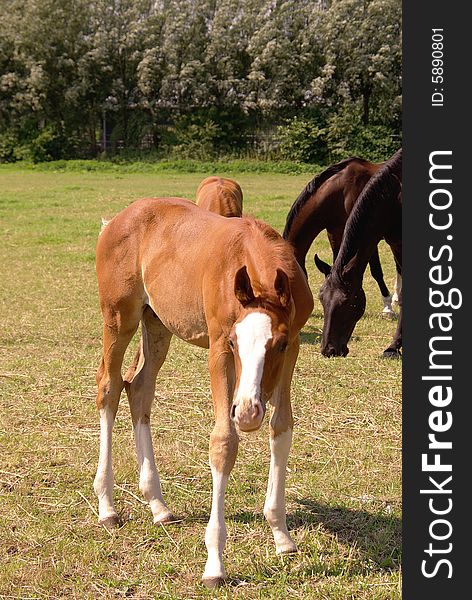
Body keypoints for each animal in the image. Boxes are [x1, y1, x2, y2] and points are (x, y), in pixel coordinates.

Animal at [93, 197, 314, 584]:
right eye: (235, 342)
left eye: (280, 344)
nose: (248, 411)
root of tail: (116, 220)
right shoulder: (218, 347)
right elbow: (223, 443)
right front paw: (215, 562)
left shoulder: (295, 348)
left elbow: (282, 428)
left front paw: (281, 535)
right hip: (119, 317)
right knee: (109, 386)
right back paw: (107, 506)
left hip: (156, 322)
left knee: (139, 388)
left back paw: (158, 505)